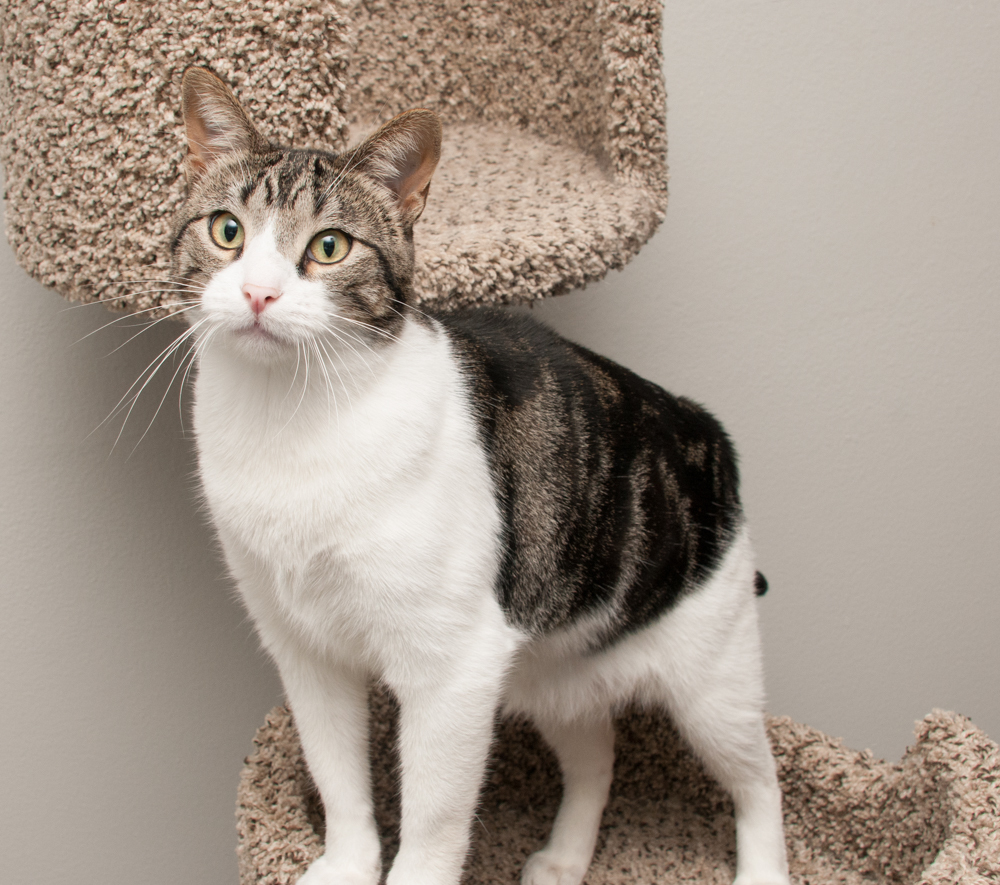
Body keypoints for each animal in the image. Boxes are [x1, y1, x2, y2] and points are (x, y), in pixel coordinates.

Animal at [176, 64, 792, 884]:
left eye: (330, 246)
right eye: (227, 231)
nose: (258, 293)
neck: (292, 423)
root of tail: (706, 431)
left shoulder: (451, 668)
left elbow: (432, 826)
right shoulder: (306, 650)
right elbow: (337, 778)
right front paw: (344, 864)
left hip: (710, 680)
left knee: (760, 778)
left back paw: (761, 863)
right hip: (547, 672)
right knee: (597, 757)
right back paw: (564, 858)